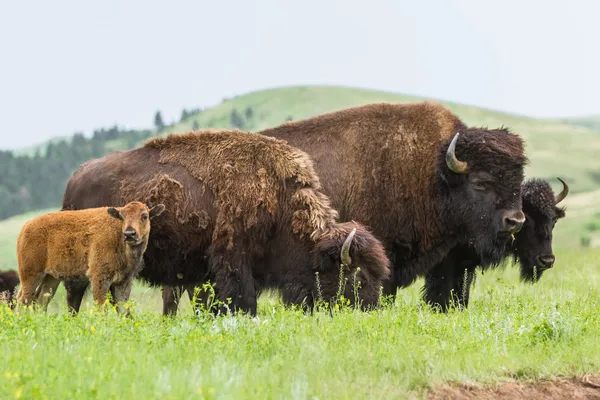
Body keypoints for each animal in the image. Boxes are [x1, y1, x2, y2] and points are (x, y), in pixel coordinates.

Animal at [16, 200, 164, 312]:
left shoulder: (123, 281)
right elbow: (101, 308)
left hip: (51, 277)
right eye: (122, 217)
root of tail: (25, 227)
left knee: (40, 300)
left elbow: (123, 310)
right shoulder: (99, 278)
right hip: (31, 275)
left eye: (144, 216)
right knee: (23, 300)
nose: (129, 234)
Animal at [59, 129, 390, 316]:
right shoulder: (233, 261)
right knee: (75, 295)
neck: (279, 200)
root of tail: (74, 180)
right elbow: (241, 299)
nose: (372, 312)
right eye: (359, 278)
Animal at [422, 178, 568, 312]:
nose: (547, 260)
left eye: (554, 220)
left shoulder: (466, 265)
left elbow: (462, 292)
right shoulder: (445, 264)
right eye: (526, 219)